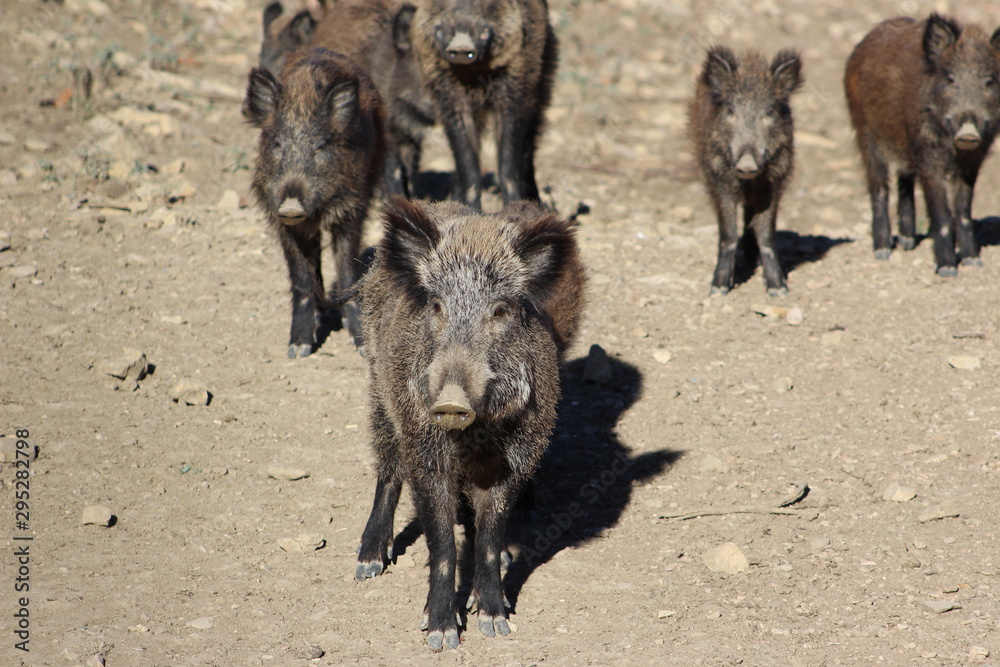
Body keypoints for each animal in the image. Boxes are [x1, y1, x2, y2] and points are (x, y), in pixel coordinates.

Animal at [243, 48, 385, 357]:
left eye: (321, 146)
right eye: (277, 144)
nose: (291, 205)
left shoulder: (351, 210)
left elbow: (346, 270)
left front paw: (361, 347)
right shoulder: (283, 223)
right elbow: (300, 277)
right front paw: (298, 350)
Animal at [353, 196, 585, 650]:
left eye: (499, 310)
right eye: (437, 306)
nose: (450, 402)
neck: (475, 435)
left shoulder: (516, 457)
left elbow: (491, 536)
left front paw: (495, 621)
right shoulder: (426, 452)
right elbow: (442, 544)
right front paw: (441, 635)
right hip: (378, 388)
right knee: (387, 467)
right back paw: (368, 564)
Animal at [410, 0, 557, 209]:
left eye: (489, 5)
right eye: (442, 4)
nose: (461, 46)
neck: (474, 74)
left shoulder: (517, 81)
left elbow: (508, 160)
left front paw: (509, 208)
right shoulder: (445, 91)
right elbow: (466, 159)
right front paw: (472, 210)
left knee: (530, 144)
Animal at [688, 46, 803, 295]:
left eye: (769, 112)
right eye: (731, 110)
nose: (747, 164)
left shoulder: (775, 180)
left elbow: (767, 234)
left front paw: (779, 290)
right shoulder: (718, 177)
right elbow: (728, 232)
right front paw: (718, 289)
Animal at [844, 13, 1000, 275]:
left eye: (988, 82)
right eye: (951, 79)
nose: (968, 133)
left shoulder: (973, 160)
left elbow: (963, 210)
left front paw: (973, 261)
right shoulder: (928, 157)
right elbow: (942, 213)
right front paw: (947, 270)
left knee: (903, 178)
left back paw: (908, 242)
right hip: (864, 132)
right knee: (878, 186)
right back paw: (883, 252)